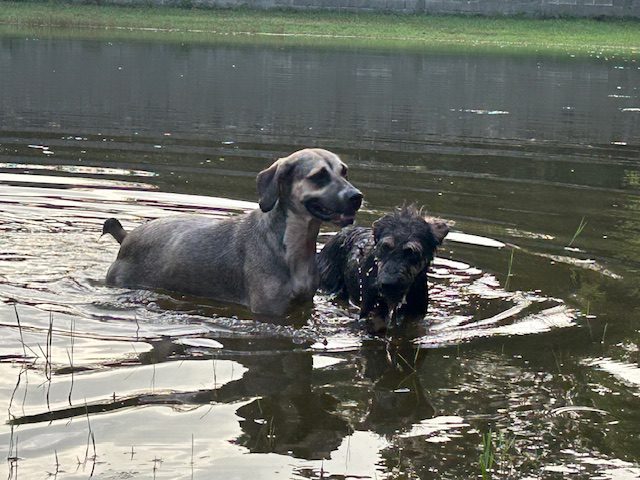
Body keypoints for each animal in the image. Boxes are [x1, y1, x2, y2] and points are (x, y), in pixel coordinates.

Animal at [105, 148, 364, 316]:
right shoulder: (269, 312)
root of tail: (127, 237)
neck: (293, 246)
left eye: (344, 172)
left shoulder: (304, 303)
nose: (357, 197)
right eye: (319, 176)